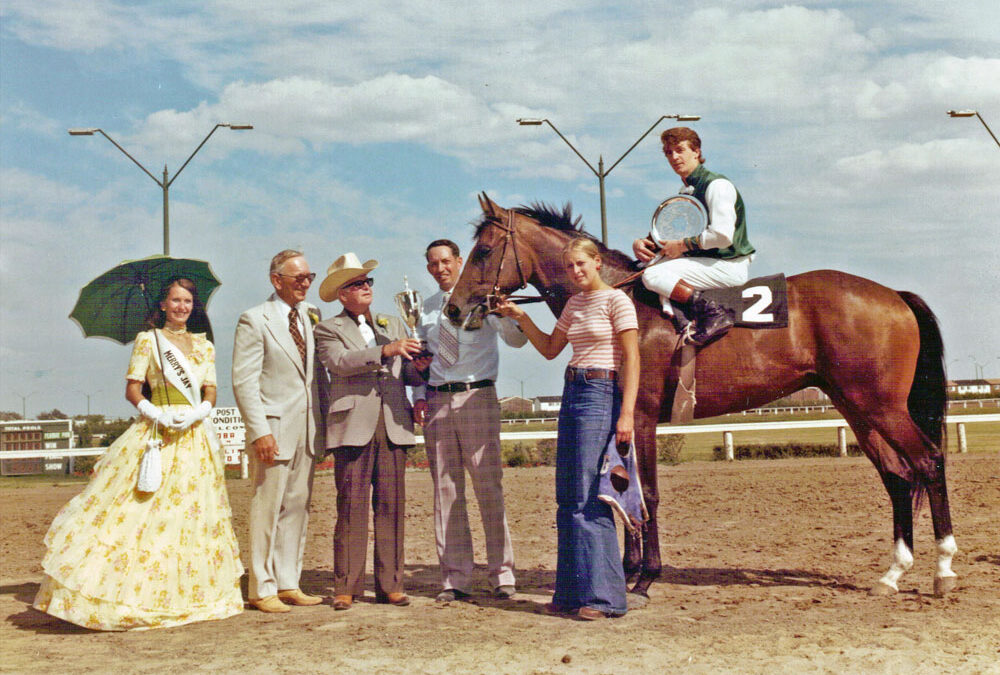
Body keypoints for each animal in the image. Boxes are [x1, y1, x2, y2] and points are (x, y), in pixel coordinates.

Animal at [450, 193, 956, 600]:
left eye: (485, 250)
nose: (454, 307)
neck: (620, 301)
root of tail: (893, 294)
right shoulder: (622, 417)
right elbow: (623, 486)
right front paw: (630, 569)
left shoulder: (642, 414)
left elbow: (648, 494)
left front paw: (646, 577)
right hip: (855, 406)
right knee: (897, 475)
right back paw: (893, 573)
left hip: (881, 406)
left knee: (928, 462)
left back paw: (944, 569)